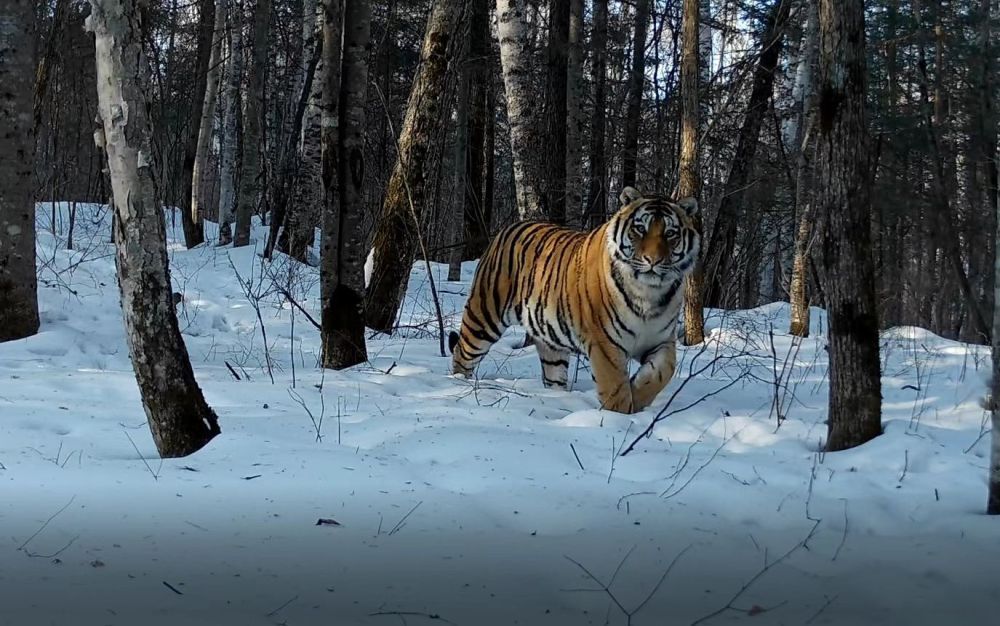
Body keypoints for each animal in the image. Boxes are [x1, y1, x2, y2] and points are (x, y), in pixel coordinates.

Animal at [450, 185, 700, 414]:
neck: (648, 293)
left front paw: (638, 395)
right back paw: (458, 384)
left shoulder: (661, 338)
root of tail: (509, 228)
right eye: (640, 229)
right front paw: (620, 416)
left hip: (550, 341)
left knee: (552, 375)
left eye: (670, 233)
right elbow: (615, 388)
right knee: (462, 352)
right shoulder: (605, 343)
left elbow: (664, 371)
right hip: (483, 317)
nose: (653, 260)